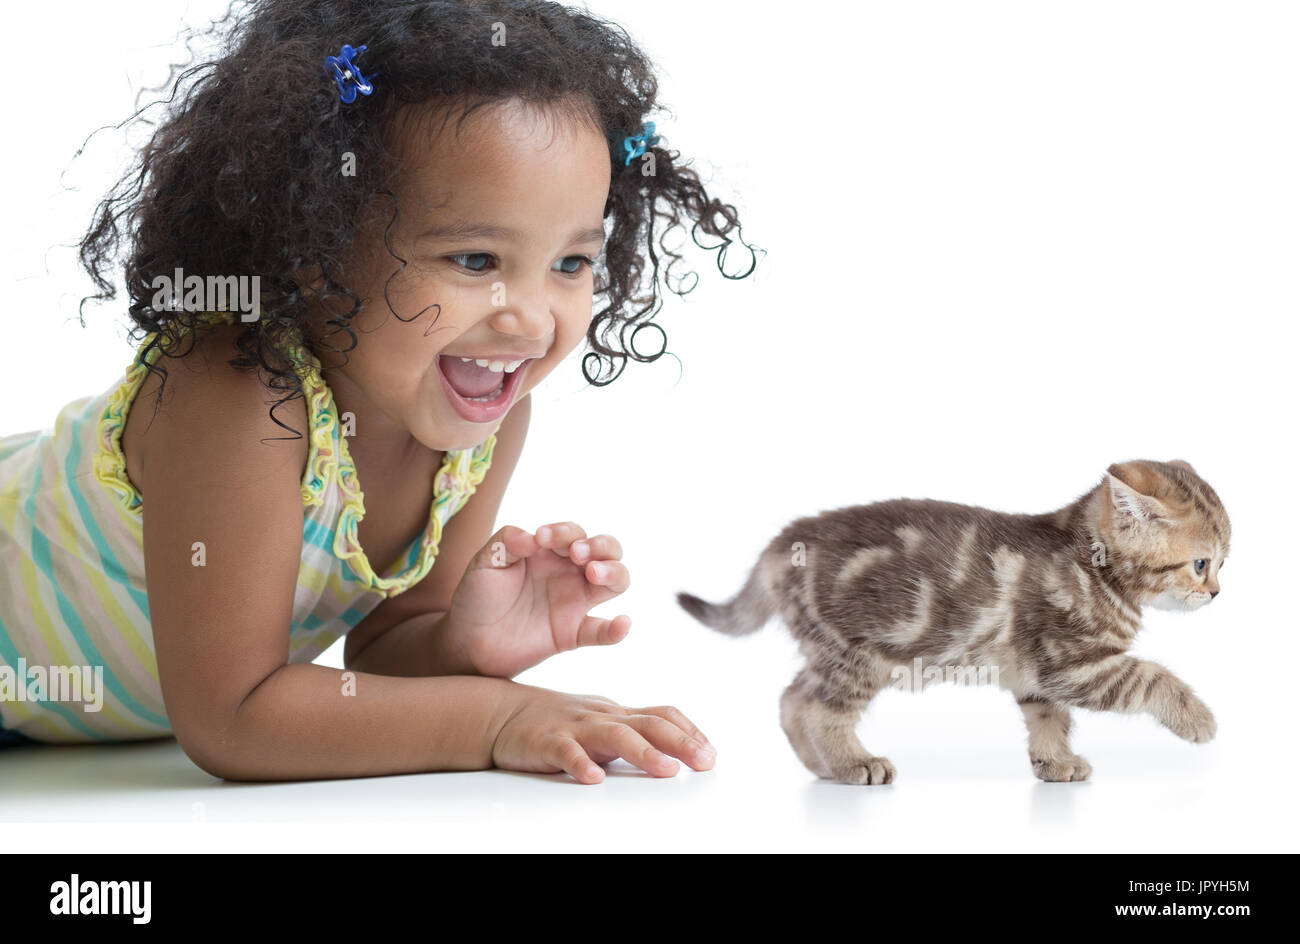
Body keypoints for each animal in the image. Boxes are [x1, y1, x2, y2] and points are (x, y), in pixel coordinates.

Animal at [681, 462, 1227, 785]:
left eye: (1224, 562)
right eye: (1201, 564)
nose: (1218, 593)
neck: (1089, 563)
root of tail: (782, 544)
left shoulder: (1036, 673)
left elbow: (1050, 718)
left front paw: (1054, 762)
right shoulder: (1071, 663)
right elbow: (1151, 676)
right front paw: (1199, 719)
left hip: (828, 650)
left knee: (791, 698)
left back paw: (820, 764)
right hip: (856, 654)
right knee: (815, 707)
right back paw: (853, 762)